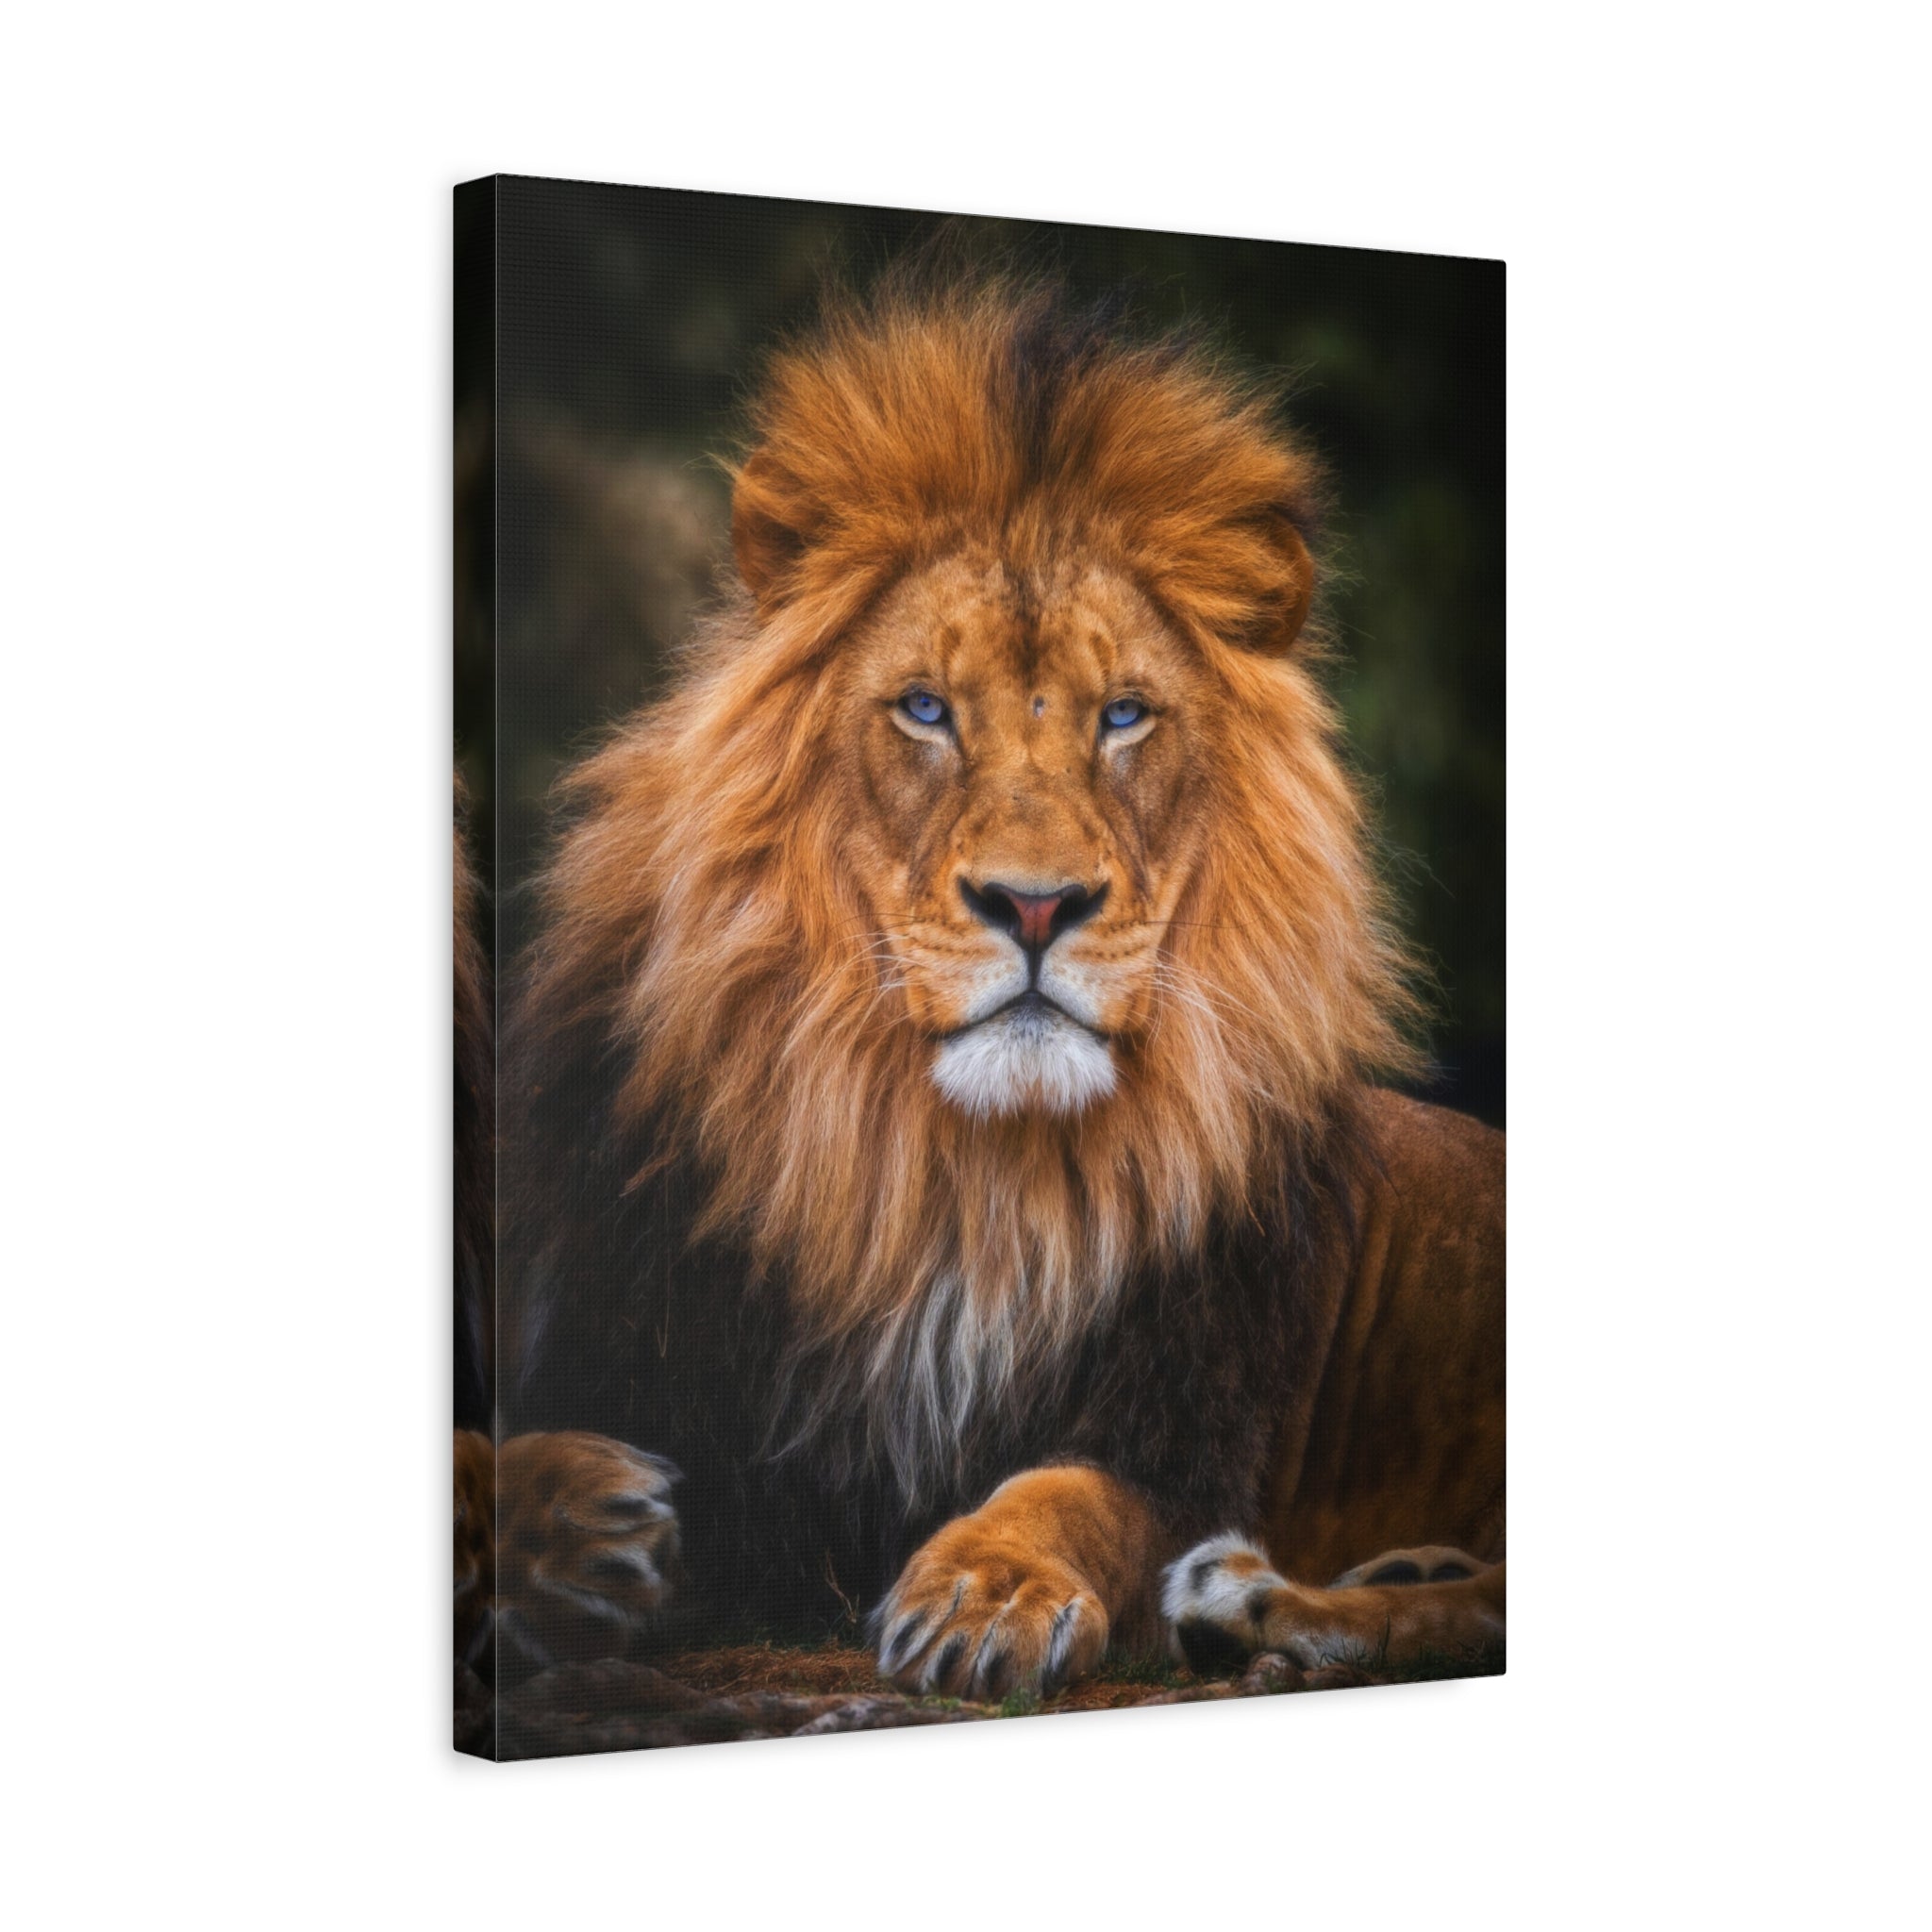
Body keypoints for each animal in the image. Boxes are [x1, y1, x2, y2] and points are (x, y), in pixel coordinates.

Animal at [482, 274, 1504, 1705]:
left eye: (1123, 715)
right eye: (924, 708)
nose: (1033, 905)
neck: (952, 1176)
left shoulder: (1184, 1429)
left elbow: (1072, 1491)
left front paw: (986, 1588)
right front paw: (571, 1525)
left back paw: (1256, 1602)